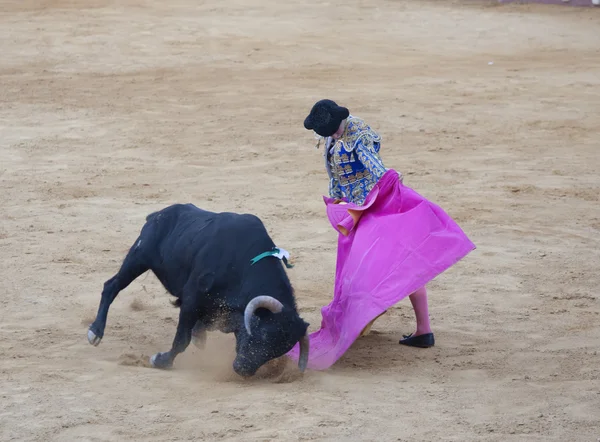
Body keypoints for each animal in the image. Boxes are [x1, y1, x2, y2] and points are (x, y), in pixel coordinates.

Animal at [88, 204, 310, 376]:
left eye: (280, 350)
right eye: (263, 334)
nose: (243, 370)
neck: (243, 265)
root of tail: (159, 214)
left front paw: (198, 336)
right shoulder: (191, 299)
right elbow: (182, 340)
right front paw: (160, 360)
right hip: (139, 256)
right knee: (112, 286)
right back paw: (95, 332)